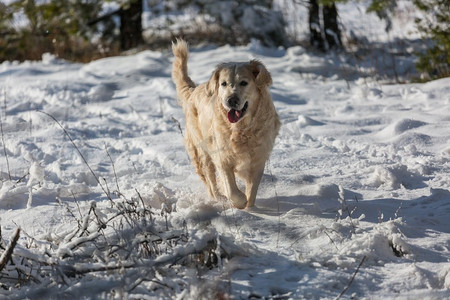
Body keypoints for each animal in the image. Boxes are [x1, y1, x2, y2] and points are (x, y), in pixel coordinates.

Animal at [171, 39, 280, 209]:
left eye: (244, 82)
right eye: (223, 84)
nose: (231, 100)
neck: (241, 128)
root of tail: (194, 90)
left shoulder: (258, 159)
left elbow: (252, 190)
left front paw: (250, 207)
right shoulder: (222, 157)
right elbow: (232, 189)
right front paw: (239, 202)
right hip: (201, 152)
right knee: (210, 181)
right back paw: (218, 197)